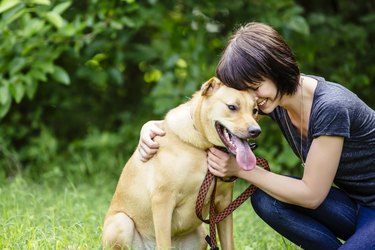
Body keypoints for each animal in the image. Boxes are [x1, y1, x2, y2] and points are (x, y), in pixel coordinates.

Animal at [103, 77, 262, 249]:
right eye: (232, 107)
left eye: (255, 110)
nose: (256, 131)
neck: (203, 147)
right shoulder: (163, 200)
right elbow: (164, 243)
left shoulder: (224, 203)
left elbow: (228, 243)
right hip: (121, 222)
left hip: (201, 235)